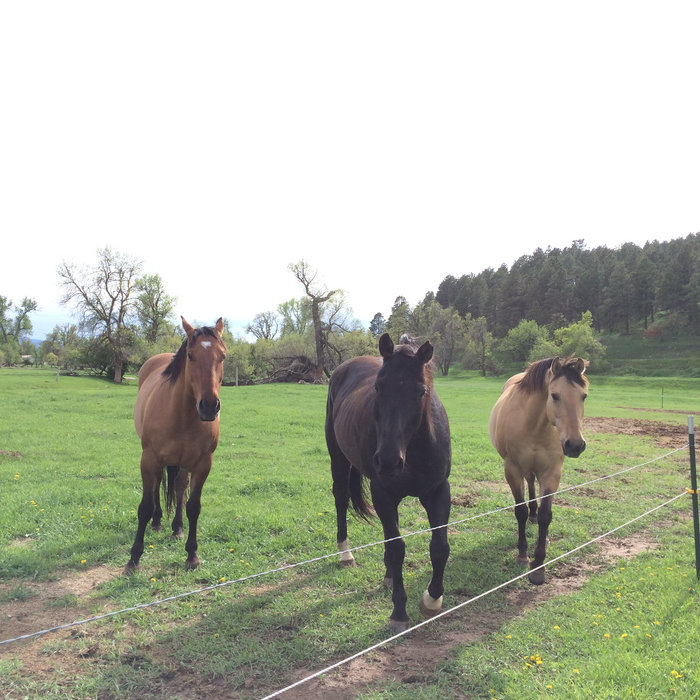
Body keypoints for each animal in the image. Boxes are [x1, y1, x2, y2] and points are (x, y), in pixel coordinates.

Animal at [124, 317, 227, 574]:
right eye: (190, 355)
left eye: (222, 356)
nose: (209, 406)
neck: (182, 415)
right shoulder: (149, 460)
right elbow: (144, 507)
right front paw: (134, 559)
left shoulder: (202, 464)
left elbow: (193, 506)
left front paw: (192, 554)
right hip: (156, 462)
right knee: (157, 486)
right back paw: (158, 522)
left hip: (183, 463)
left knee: (179, 488)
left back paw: (177, 527)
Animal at [325, 333, 452, 633]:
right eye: (379, 387)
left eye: (421, 391)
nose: (388, 461)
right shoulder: (383, 493)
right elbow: (397, 549)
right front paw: (399, 611)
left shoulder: (439, 491)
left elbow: (439, 546)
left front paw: (432, 600)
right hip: (338, 459)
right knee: (340, 500)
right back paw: (346, 554)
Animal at [488, 356, 588, 585]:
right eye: (555, 395)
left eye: (584, 396)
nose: (575, 445)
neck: (535, 426)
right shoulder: (512, 470)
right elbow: (520, 511)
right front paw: (523, 555)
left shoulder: (552, 473)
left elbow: (545, 515)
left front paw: (539, 566)